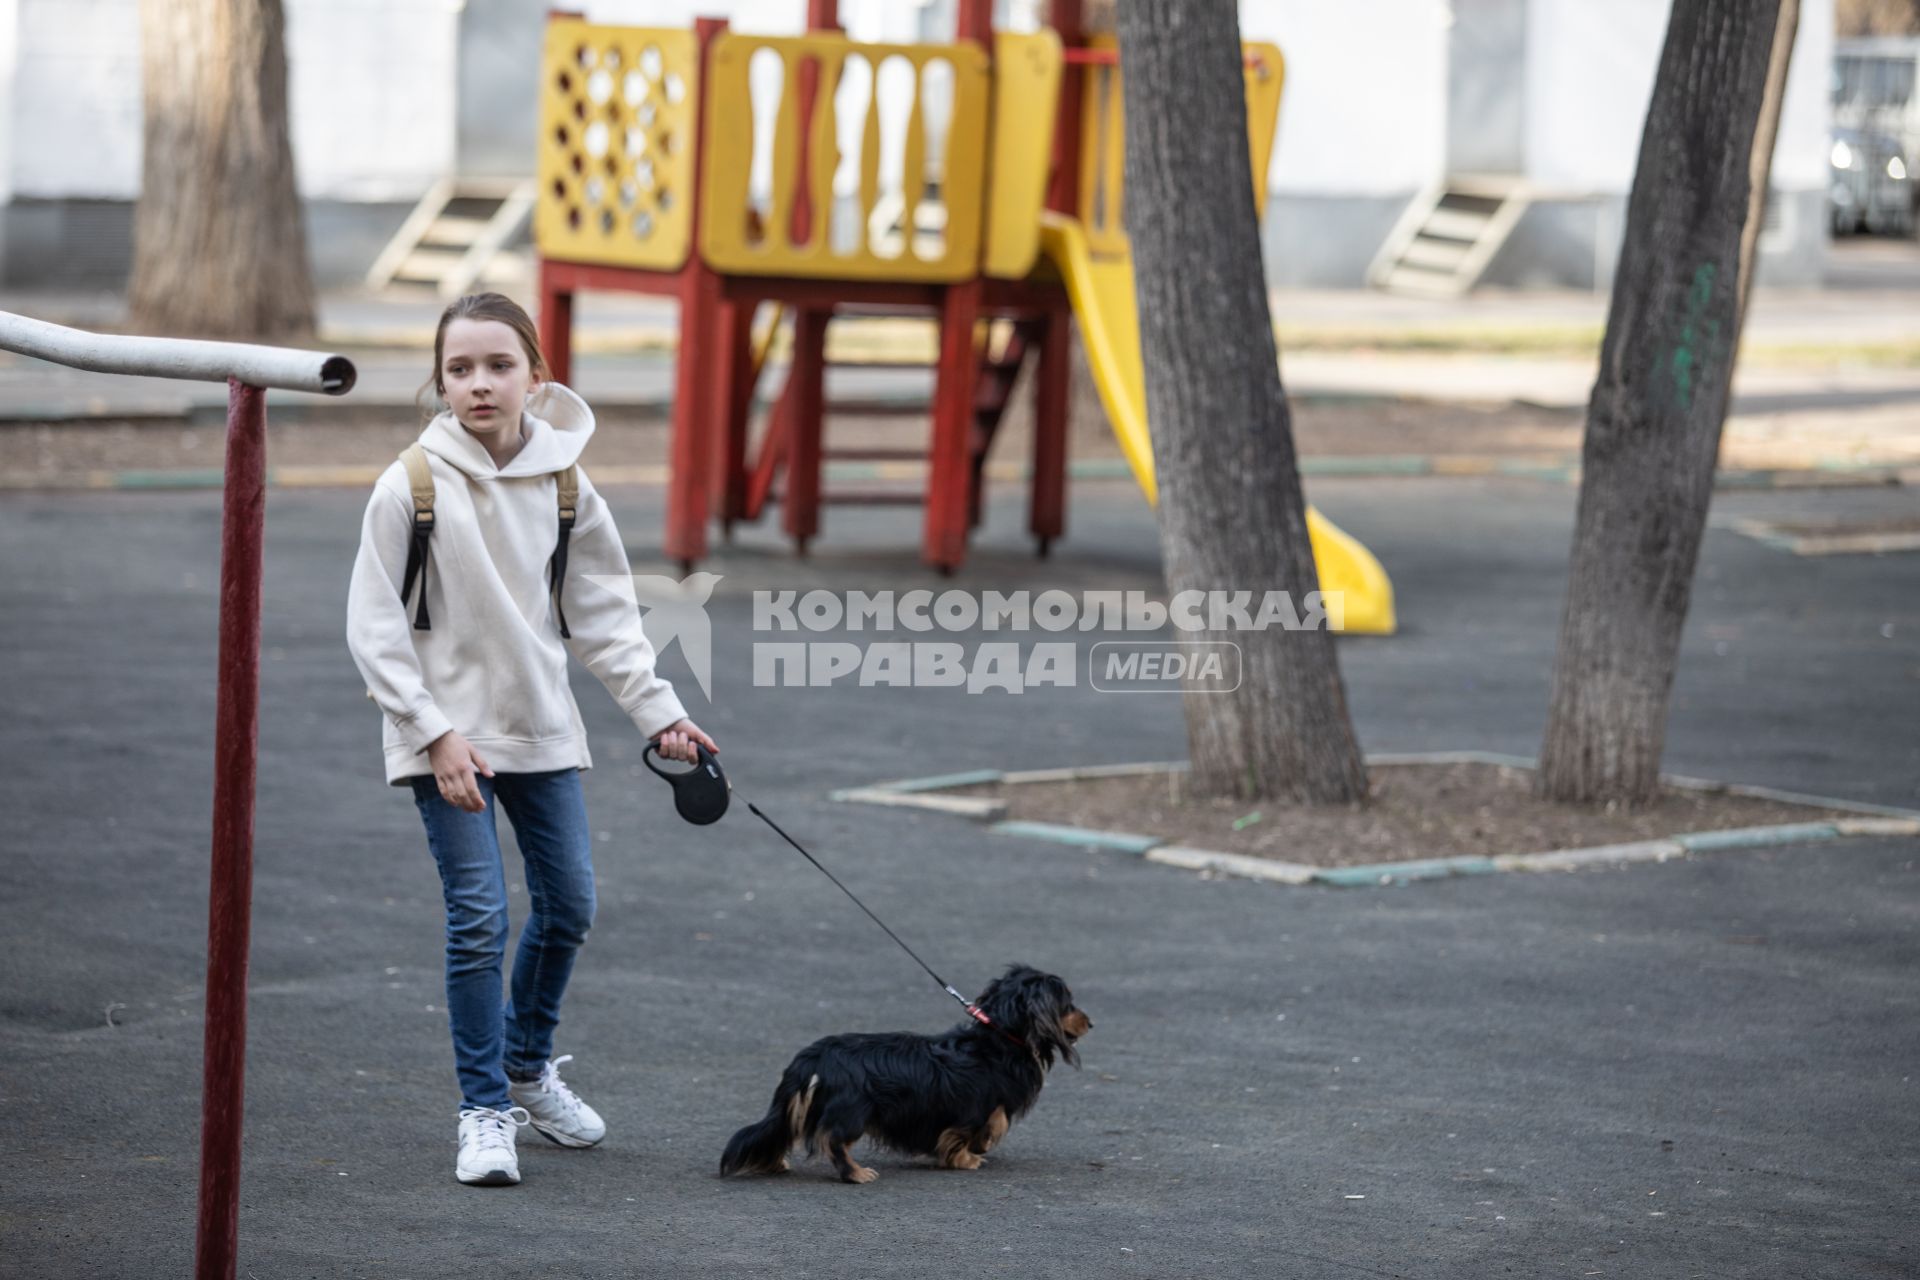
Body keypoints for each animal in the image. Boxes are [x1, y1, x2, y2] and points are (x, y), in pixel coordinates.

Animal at [718, 967, 1090, 1189]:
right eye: (1068, 1003)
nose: (1091, 1023)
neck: (997, 1036)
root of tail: (813, 1056)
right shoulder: (976, 1105)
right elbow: (978, 1128)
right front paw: (967, 1159)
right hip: (853, 1111)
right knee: (833, 1140)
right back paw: (856, 1174)